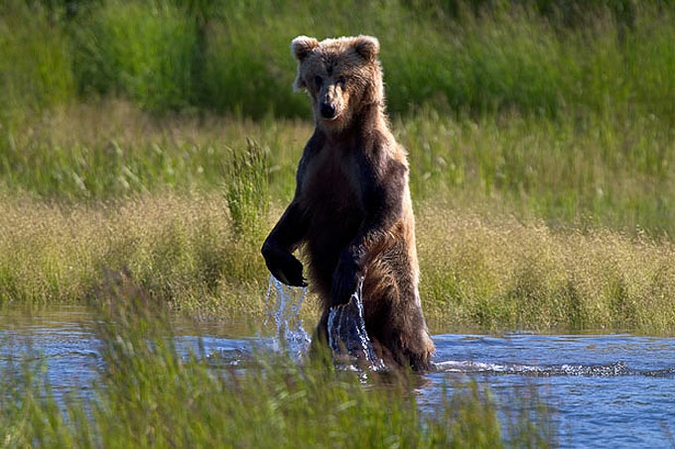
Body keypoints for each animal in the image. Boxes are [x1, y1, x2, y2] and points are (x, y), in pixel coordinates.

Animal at [262, 35, 436, 372]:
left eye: (343, 77)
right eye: (318, 77)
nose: (328, 107)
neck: (340, 137)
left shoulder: (372, 161)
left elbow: (383, 209)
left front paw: (345, 271)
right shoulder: (315, 163)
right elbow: (297, 213)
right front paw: (288, 266)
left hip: (393, 287)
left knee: (407, 332)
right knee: (325, 337)